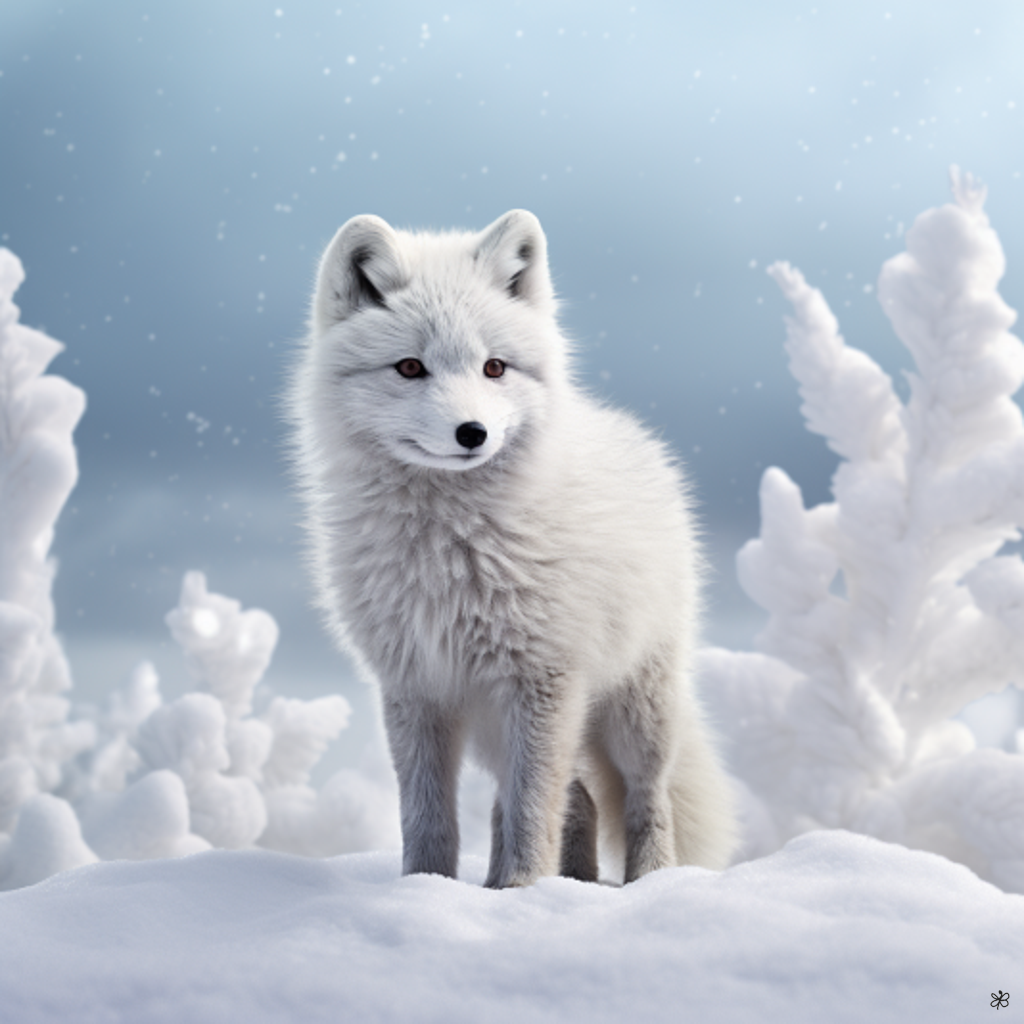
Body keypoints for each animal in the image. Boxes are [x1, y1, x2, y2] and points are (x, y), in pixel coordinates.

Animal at [288, 209, 737, 887]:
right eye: (410, 368)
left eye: (494, 368)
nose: (472, 433)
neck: (447, 551)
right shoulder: (416, 685)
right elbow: (428, 816)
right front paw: (427, 889)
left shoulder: (542, 678)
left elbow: (530, 810)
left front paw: (523, 890)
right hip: (496, 728)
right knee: (575, 801)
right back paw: (567, 883)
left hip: (634, 708)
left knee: (642, 798)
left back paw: (647, 883)